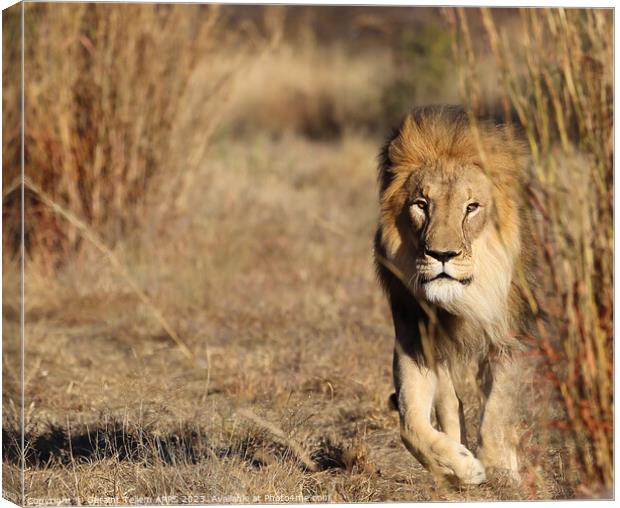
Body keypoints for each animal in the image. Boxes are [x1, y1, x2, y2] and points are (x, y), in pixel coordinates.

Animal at [372, 105, 532, 486]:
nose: (441, 255)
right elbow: (410, 423)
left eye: (471, 207)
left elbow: (498, 408)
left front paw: (498, 468)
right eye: (421, 204)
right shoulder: (414, 337)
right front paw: (463, 467)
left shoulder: (512, 334)